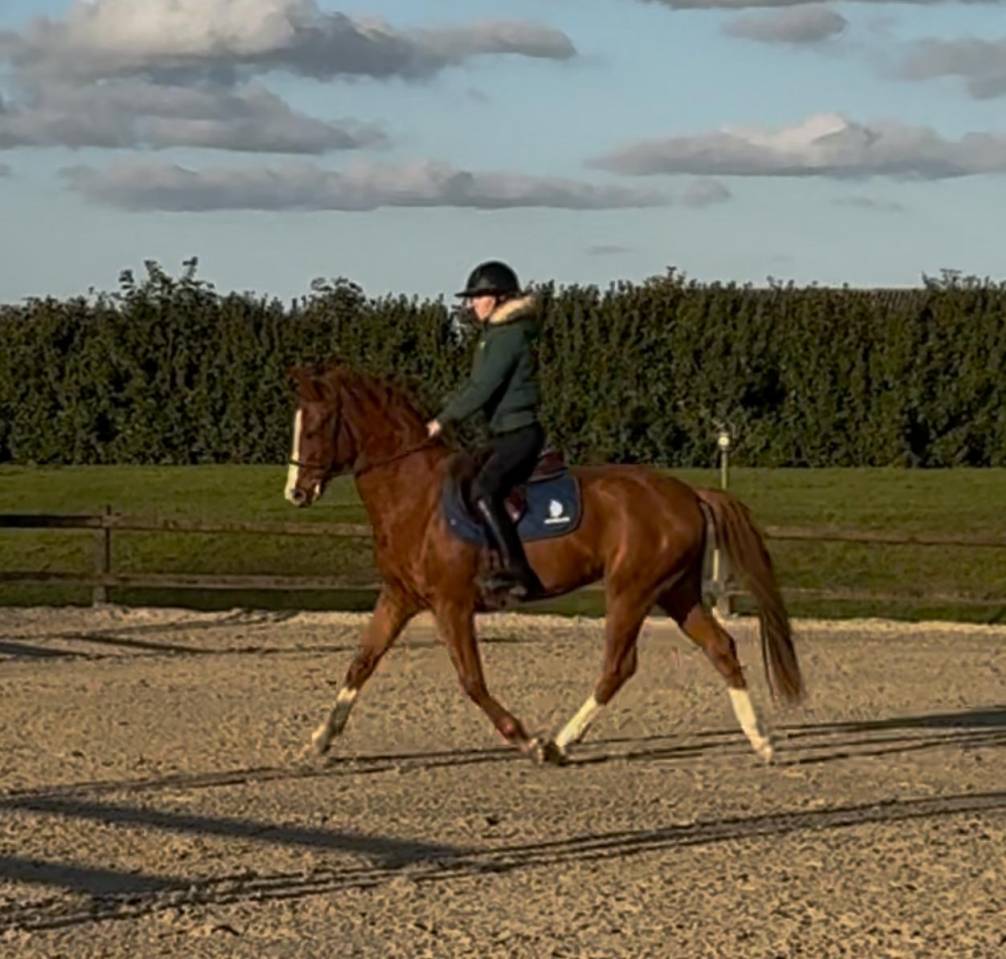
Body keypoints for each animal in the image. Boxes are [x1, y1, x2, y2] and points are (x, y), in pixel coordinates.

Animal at [284, 361, 803, 765]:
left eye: (313, 428)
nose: (296, 493)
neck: (417, 495)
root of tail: (688, 492)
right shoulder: (399, 597)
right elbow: (361, 663)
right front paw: (320, 741)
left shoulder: (452, 604)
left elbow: (471, 680)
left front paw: (524, 739)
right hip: (676, 592)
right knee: (720, 648)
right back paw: (761, 741)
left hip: (631, 591)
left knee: (619, 665)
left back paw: (559, 743)